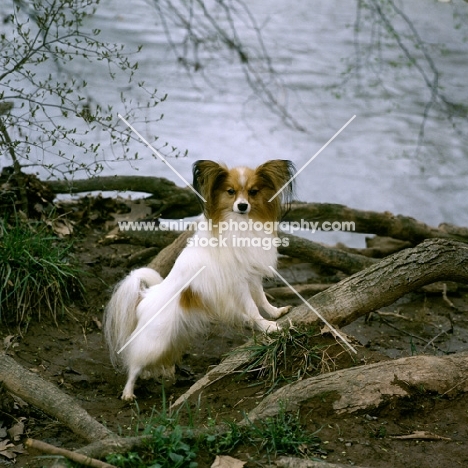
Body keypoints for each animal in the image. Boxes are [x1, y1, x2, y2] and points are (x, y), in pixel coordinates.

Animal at [105, 159, 296, 400]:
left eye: (253, 192)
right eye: (231, 192)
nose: (243, 206)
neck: (239, 225)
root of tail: (146, 296)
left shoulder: (251, 277)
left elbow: (261, 299)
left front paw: (276, 312)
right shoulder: (238, 283)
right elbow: (252, 307)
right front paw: (268, 326)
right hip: (154, 340)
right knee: (134, 365)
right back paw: (128, 393)